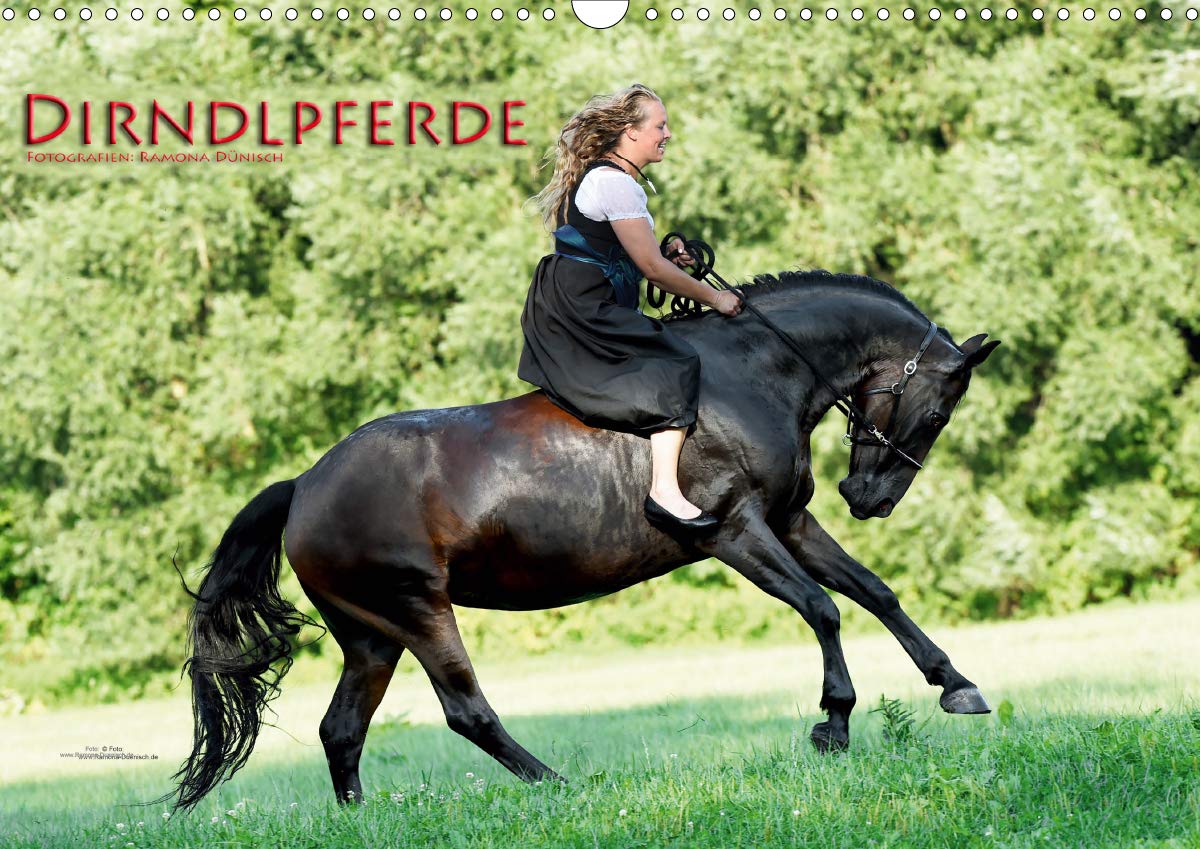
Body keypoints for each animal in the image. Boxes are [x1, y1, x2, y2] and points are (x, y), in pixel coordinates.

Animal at [163, 268, 1001, 811]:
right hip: (418, 612)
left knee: (342, 729)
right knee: (467, 711)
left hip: (372, 636)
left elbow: (874, 592)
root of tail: (303, 484)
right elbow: (823, 608)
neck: (749, 376)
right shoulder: (735, 529)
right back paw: (559, 785)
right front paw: (834, 720)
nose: (870, 500)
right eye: (937, 412)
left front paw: (955, 682)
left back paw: (365, 819)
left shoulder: (791, 520)